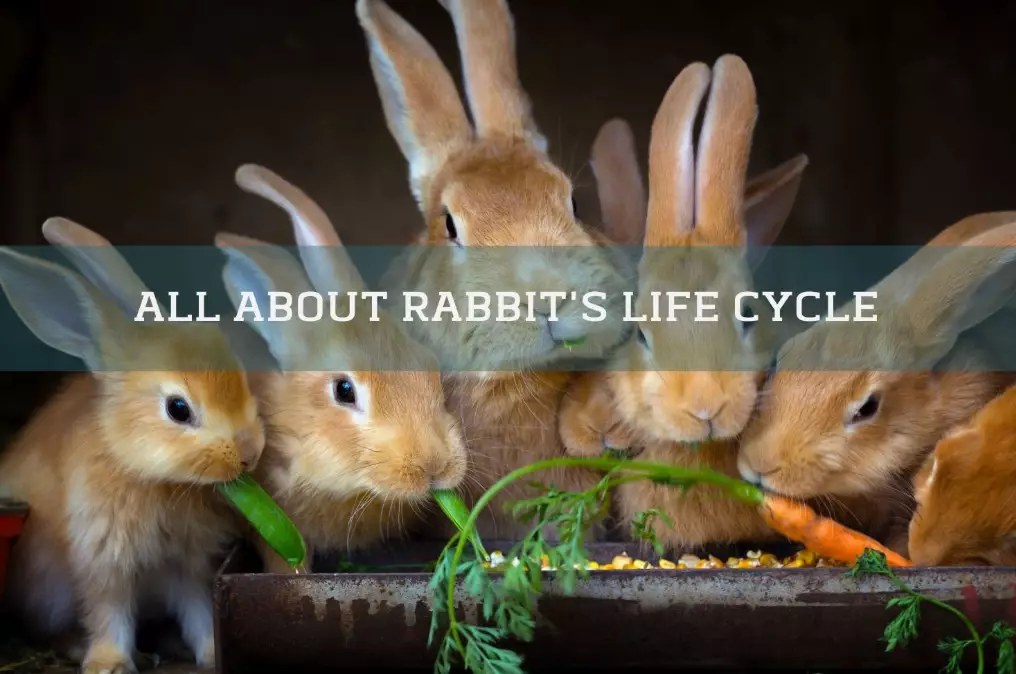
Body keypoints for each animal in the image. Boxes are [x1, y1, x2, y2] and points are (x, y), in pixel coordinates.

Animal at [0, 218, 265, 674]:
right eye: (178, 409)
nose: (250, 454)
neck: (153, 479)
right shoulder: (105, 563)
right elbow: (109, 614)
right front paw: (109, 664)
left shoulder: (188, 565)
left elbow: (198, 610)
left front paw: (211, 653)